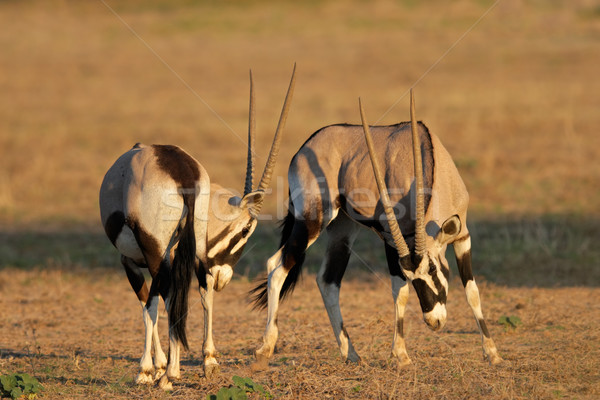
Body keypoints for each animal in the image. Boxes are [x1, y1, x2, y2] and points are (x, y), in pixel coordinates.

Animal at [99, 67, 296, 390]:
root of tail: (182, 173)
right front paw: (173, 364)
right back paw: (207, 362)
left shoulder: (129, 260)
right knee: (202, 289)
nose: (225, 278)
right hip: (196, 254)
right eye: (246, 230)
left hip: (155, 252)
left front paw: (153, 369)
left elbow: (148, 302)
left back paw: (164, 373)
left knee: (159, 299)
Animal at [251, 90, 504, 366]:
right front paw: (401, 355)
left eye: (433, 269)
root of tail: (305, 147)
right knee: (277, 266)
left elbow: (472, 291)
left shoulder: (462, 235)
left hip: (342, 228)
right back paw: (266, 346)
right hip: (312, 220)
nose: (434, 322)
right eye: (413, 277)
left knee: (328, 280)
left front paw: (492, 352)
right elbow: (399, 291)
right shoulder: (391, 239)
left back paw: (350, 353)